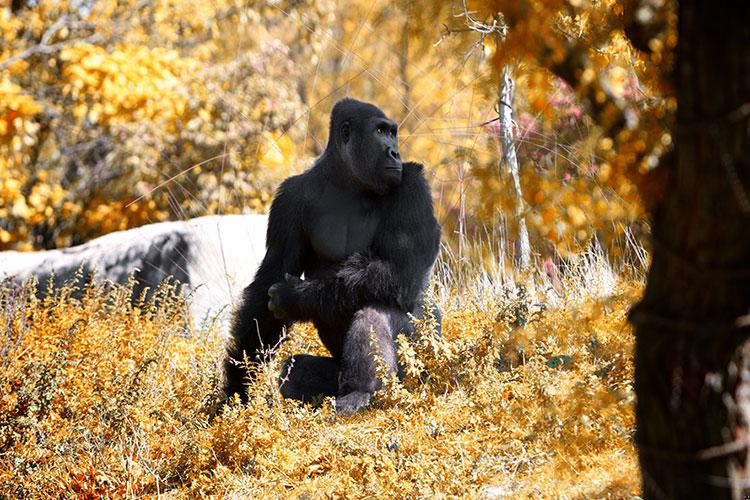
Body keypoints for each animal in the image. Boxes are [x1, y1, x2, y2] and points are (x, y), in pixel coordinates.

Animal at [226, 96, 444, 414]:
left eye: (392, 133)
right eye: (381, 131)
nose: (395, 151)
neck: (346, 179)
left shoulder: (411, 183)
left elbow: (401, 274)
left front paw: (296, 297)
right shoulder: (288, 199)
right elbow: (265, 289)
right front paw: (236, 387)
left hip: (426, 361)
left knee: (375, 307)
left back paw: (361, 390)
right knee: (294, 371)